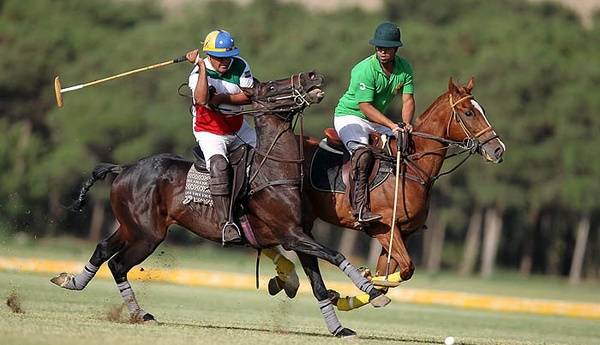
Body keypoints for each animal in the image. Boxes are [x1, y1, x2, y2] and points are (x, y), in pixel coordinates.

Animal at [51, 71, 390, 338]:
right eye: (270, 86)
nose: (312, 75)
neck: (276, 170)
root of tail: (122, 168)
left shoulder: (300, 236)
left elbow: (319, 284)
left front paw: (339, 328)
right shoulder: (292, 234)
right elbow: (336, 254)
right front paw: (374, 291)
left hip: (130, 226)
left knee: (102, 250)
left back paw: (72, 281)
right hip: (147, 234)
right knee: (118, 264)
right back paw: (140, 314)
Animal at [300, 77, 506, 310]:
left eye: (483, 110)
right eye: (468, 112)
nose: (498, 149)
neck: (411, 167)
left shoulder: (402, 233)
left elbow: (388, 277)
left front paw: (359, 287)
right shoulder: (383, 228)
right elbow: (407, 268)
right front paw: (361, 282)